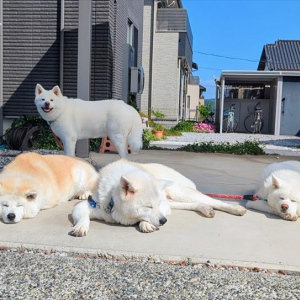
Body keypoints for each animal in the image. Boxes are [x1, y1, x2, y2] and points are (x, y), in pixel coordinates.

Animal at [71, 159, 246, 237]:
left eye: (156, 204)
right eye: (148, 206)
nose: (164, 221)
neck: (112, 203)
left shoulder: (163, 206)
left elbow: (146, 219)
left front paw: (145, 224)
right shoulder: (90, 204)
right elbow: (83, 216)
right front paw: (81, 227)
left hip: (179, 193)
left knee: (213, 200)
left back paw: (236, 208)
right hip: (175, 200)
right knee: (195, 203)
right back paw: (205, 209)